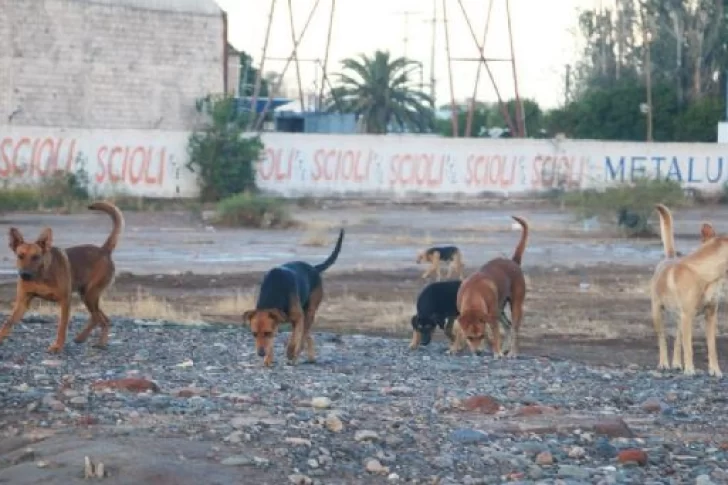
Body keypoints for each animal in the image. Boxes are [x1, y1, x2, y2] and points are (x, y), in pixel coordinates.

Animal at [450, 216, 528, 356]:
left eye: (481, 336)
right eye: (469, 337)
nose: (478, 352)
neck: (473, 293)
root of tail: (513, 262)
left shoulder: (491, 317)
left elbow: (496, 334)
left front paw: (497, 352)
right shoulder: (462, 314)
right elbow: (459, 331)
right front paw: (454, 348)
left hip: (515, 306)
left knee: (514, 329)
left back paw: (512, 352)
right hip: (500, 310)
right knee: (508, 326)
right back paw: (505, 348)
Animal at [652, 202, 720, 376]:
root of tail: (670, 257)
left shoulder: (710, 315)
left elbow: (712, 347)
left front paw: (715, 370)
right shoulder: (687, 315)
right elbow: (688, 346)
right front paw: (690, 369)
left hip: (680, 317)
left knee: (677, 340)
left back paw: (676, 363)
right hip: (657, 313)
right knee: (662, 340)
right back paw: (664, 363)